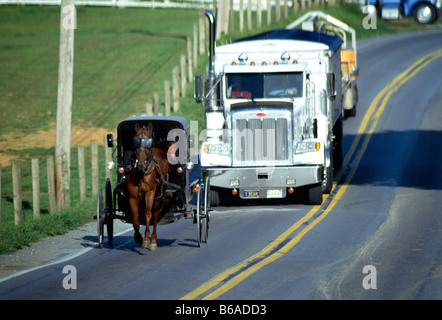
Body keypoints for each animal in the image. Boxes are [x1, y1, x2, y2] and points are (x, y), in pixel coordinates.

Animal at [128, 122, 171, 250]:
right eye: (136, 140)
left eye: (148, 140)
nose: (141, 164)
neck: (141, 173)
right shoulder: (132, 197)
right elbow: (135, 218)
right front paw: (138, 237)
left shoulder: (150, 193)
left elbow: (148, 214)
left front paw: (146, 239)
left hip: (158, 198)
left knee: (155, 216)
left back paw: (153, 240)